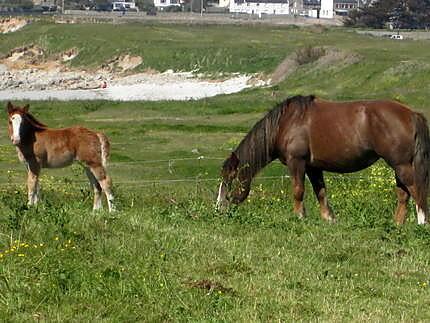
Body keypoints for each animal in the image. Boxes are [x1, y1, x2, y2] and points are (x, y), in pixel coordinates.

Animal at [218, 95, 430, 225]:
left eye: (230, 179)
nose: (219, 209)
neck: (286, 122)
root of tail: (411, 114)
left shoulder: (297, 162)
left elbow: (298, 191)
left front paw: (299, 217)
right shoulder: (313, 167)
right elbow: (320, 192)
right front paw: (328, 219)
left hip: (401, 165)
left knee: (416, 191)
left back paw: (421, 222)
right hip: (399, 166)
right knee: (403, 194)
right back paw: (397, 224)